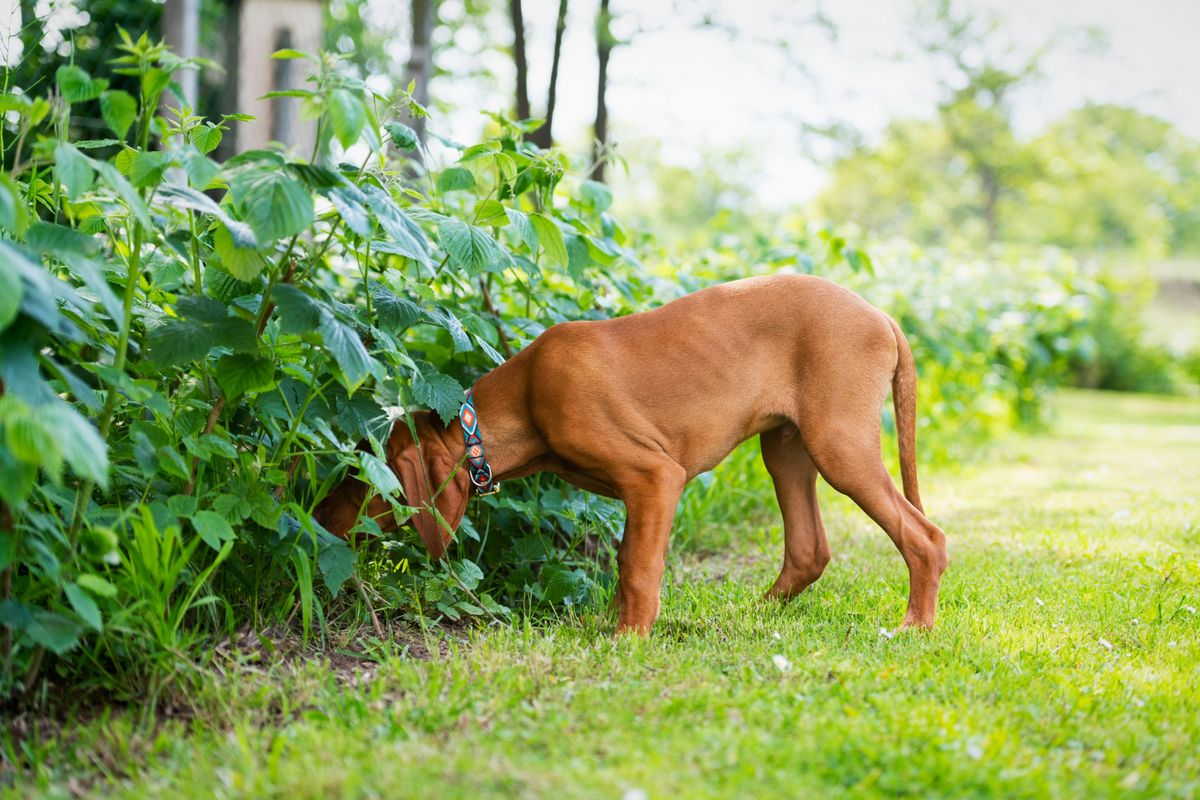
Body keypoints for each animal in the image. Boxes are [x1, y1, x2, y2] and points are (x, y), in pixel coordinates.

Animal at [316, 277, 945, 638]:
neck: (524, 398)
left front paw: (627, 640)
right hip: (787, 449)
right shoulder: (638, 491)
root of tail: (882, 316)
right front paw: (618, 626)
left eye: (360, 479)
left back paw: (913, 627)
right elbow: (624, 560)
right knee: (809, 549)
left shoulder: (655, 476)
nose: (317, 518)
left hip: (839, 444)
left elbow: (639, 568)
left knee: (925, 537)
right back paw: (751, 615)